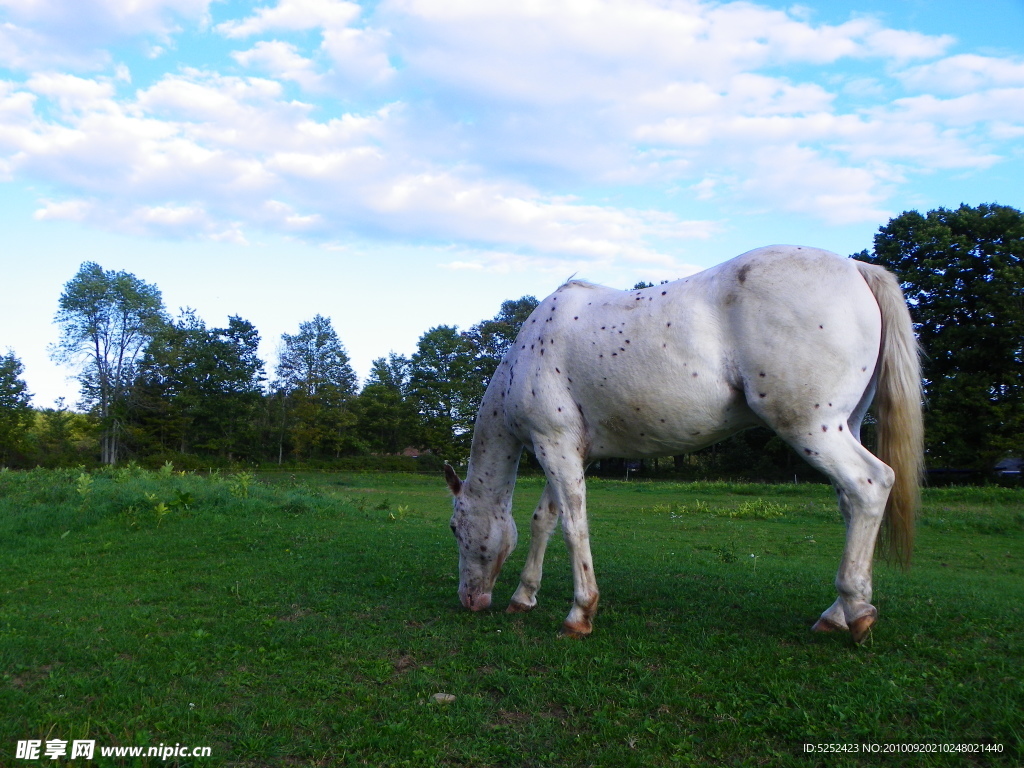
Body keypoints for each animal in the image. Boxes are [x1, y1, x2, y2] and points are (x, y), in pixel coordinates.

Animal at [444, 246, 925, 643]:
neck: (525, 357)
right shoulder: (566, 451)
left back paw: (857, 612)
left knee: (871, 485)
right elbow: (544, 519)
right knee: (851, 504)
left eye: (454, 527)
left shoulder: (555, 445)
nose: (469, 600)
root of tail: (857, 268)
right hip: (843, 425)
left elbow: (573, 526)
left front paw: (579, 614)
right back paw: (837, 614)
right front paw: (523, 597)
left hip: (812, 428)